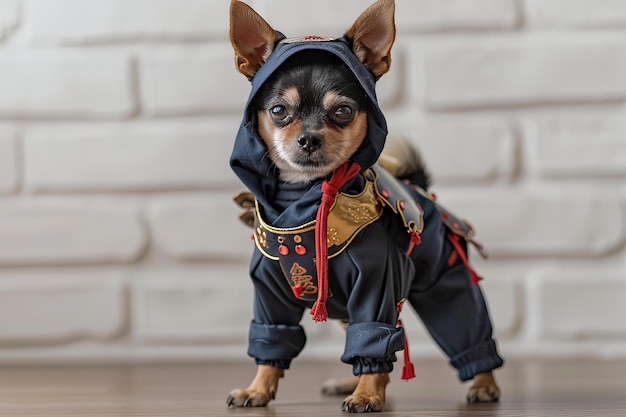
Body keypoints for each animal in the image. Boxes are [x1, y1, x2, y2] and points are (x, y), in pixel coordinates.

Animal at [227, 0, 500, 410]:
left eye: (342, 111)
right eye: (278, 111)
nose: (309, 138)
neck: (301, 200)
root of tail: (419, 188)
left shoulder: (377, 285)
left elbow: (373, 338)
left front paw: (368, 394)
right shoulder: (270, 295)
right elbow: (272, 340)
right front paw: (258, 388)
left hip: (447, 283)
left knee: (464, 324)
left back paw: (483, 384)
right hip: (344, 304)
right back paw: (347, 381)